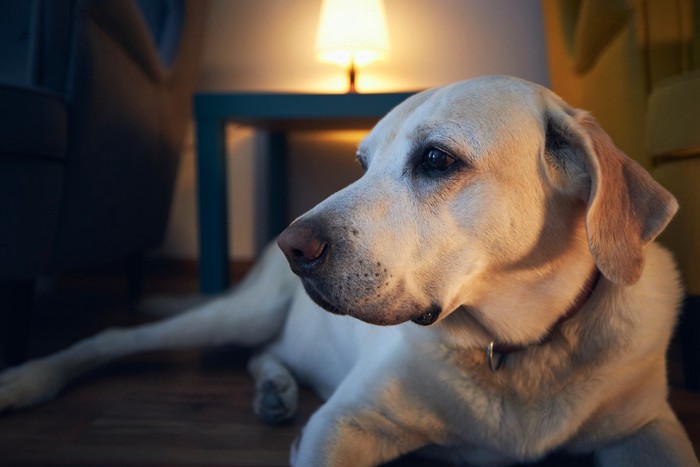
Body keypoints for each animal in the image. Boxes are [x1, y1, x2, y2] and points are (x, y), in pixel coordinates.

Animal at [1, 75, 700, 466]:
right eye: (361, 164)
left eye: (437, 159)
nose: (291, 245)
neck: (513, 350)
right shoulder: (345, 424)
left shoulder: (647, 428)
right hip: (236, 313)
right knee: (115, 338)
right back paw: (27, 379)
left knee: (266, 353)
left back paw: (275, 388)